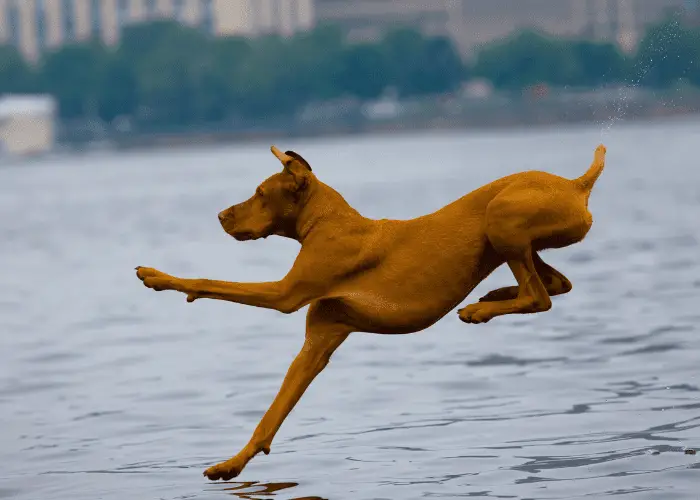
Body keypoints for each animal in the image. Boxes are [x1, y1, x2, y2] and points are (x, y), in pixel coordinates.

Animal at [137, 143, 608, 478]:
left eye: (260, 193)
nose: (220, 215)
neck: (326, 221)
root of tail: (576, 184)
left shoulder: (285, 294)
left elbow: (212, 283)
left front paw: (160, 277)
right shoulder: (316, 345)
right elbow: (271, 417)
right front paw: (232, 464)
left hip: (502, 216)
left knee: (540, 296)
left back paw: (479, 309)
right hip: (510, 238)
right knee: (553, 285)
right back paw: (493, 295)